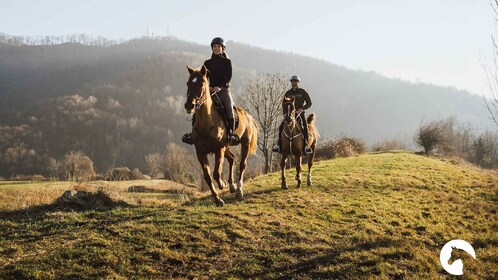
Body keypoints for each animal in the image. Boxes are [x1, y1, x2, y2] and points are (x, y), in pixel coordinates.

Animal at [185, 65, 258, 206]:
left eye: (201, 83)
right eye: (188, 83)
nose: (189, 105)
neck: (206, 123)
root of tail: (247, 115)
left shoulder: (219, 149)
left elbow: (216, 173)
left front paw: (222, 184)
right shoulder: (200, 152)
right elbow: (208, 176)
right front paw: (218, 199)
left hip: (244, 143)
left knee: (242, 164)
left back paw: (238, 190)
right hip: (227, 146)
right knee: (232, 159)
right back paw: (232, 186)